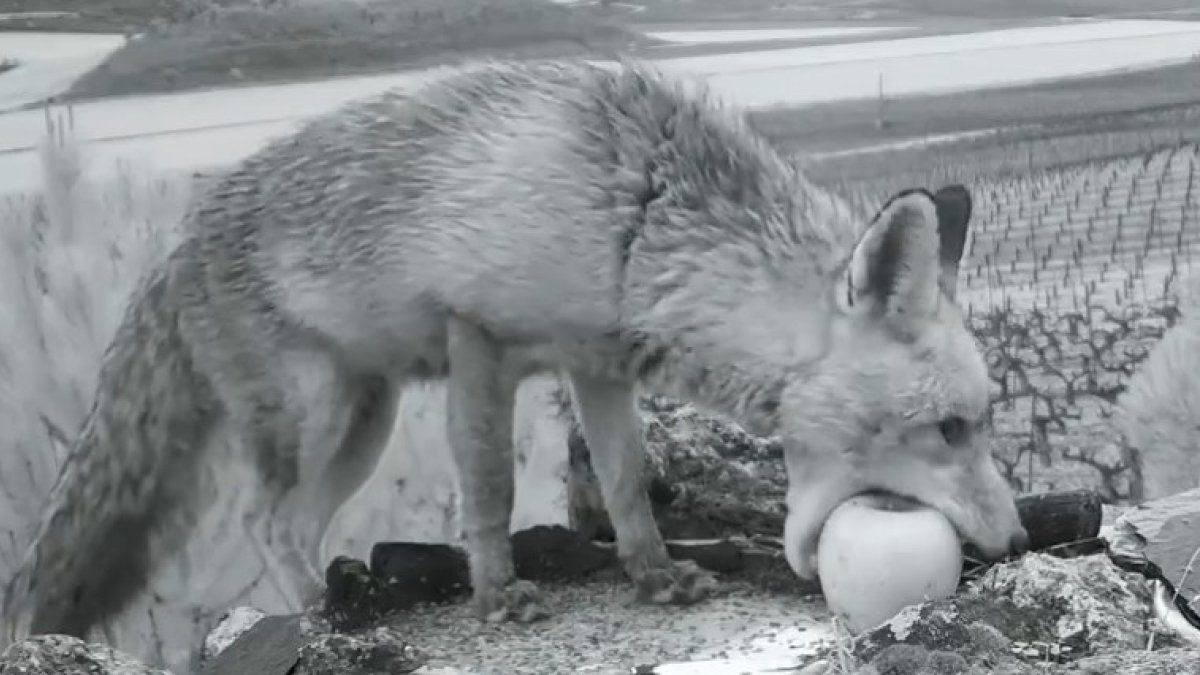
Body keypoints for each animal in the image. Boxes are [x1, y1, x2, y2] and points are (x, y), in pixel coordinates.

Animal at [2, 59, 1028, 640]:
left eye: (982, 423)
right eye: (948, 429)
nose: (1018, 541)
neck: (636, 218)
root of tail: (176, 245)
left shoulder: (598, 365)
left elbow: (625, 485)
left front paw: (654, 577)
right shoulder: (481, 343)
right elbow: (490, 489)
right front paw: (497, 597)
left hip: (364, 421)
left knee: (292, 524)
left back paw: (340, 592)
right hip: (319, 414)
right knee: (263, 522)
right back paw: (324, 616)